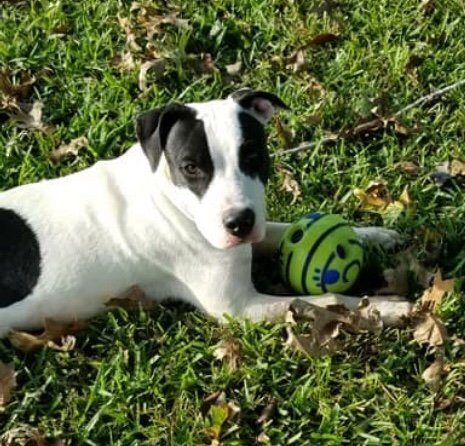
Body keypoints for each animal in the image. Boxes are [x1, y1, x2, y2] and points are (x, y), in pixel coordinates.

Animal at [0, 89, 410, 336]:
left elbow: (282, 229)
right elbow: (329, 301)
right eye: (190, 167)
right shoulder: (239, 307)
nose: (239, 223)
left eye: (253, 156)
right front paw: (385, 308)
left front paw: (374, 235)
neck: (167, 196)